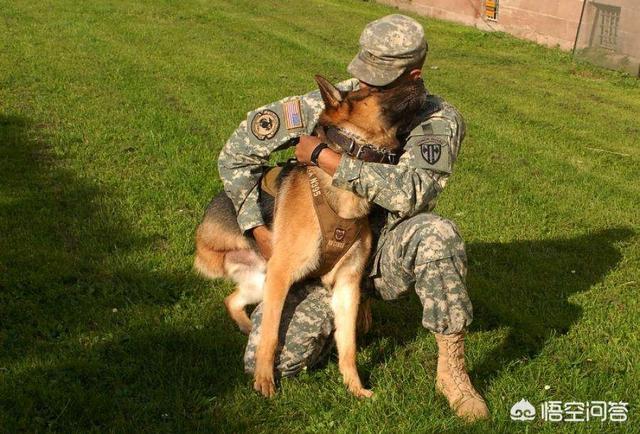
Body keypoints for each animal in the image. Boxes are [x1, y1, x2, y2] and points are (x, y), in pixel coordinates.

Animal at [195, 74, 424, 396]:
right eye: (381, 90)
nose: (422, 79)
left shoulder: (347, 286)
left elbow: (348, 346)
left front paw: (354, 386)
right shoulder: (281, 274)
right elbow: (271, 334)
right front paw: (264, 379)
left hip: (260, 282)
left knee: (232, 300)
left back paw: (245, 326)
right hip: (264, 278)